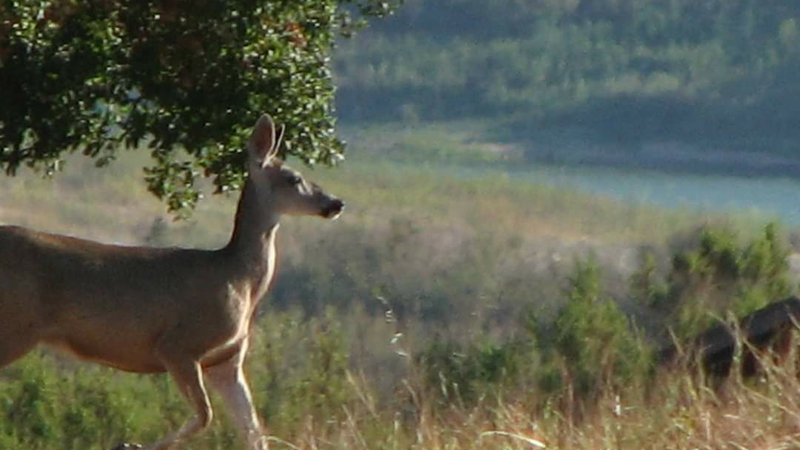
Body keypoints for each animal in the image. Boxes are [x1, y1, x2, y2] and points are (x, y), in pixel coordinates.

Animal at [0, 114, 344, 450]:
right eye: (294, 178)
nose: (336, 203)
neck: (239, 280)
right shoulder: (179, 344)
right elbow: (205, 416)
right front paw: (132, 444)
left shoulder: (227, 361)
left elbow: (254, 431)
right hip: (17, 324)